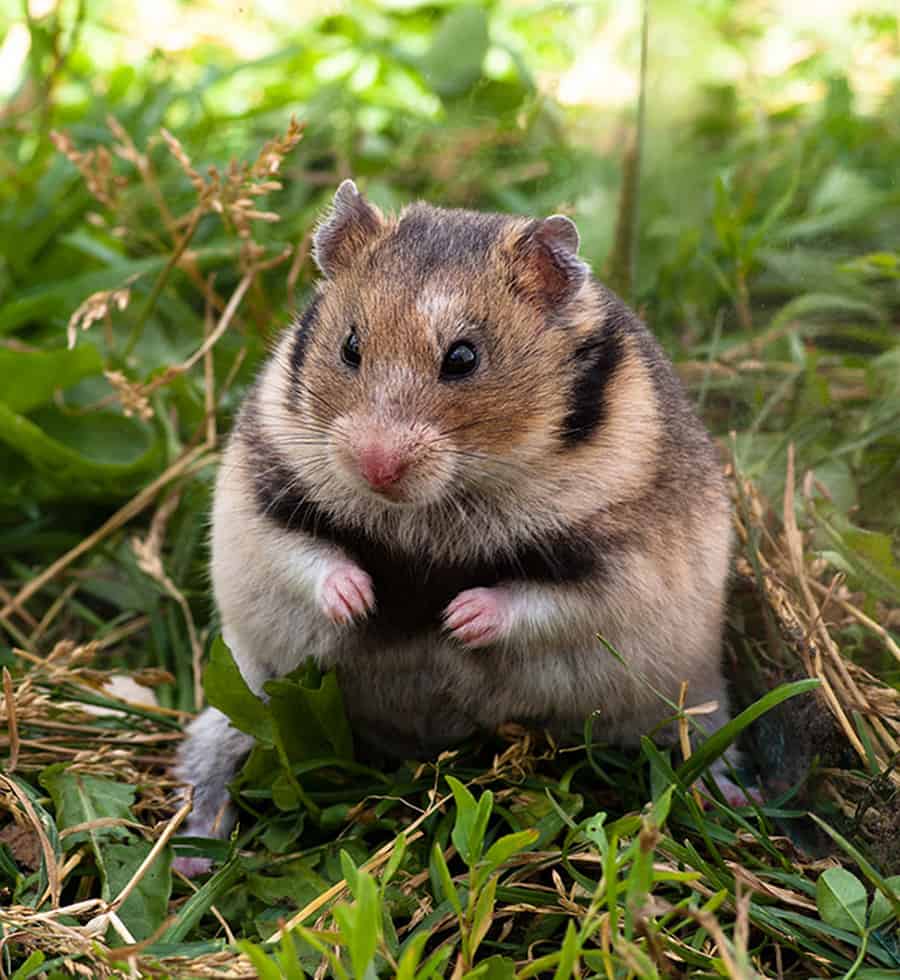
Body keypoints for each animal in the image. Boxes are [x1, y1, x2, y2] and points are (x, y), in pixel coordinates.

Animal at [174, 181, 745, 873]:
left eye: (464, 358)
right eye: (350, 346)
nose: (376, 467)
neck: (433, 505)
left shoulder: (615, 568)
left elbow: (535, 600)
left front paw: (454, 620)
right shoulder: (265, 501)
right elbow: (315, 558)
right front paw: (362, 601)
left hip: (687, 698)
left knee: (700, 740)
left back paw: (737, 802)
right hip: (245, 689)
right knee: (213, 760)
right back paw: (192, 854)